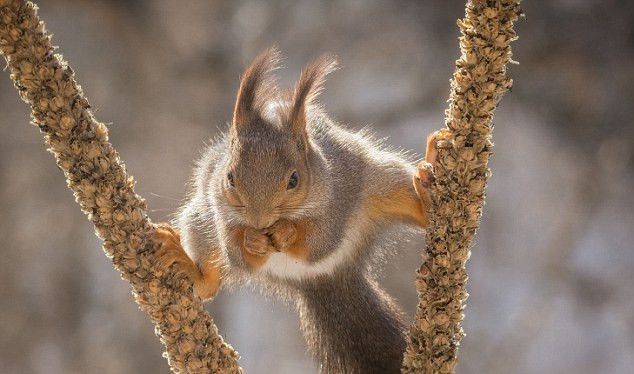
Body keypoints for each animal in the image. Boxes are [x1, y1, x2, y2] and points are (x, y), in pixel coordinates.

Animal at [155, 48, 446, 372]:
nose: (259, 221)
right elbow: (237, 254)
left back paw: (429, 179)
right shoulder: (221, 214)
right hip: (199, 221)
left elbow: (318, 242)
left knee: (414, 208)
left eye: (294, 179)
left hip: (383, 181)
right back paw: (189, 266)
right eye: (229, 177)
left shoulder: (335, 201)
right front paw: (252, 241)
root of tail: (322, 279)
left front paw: (286, 232)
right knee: (209, 283)